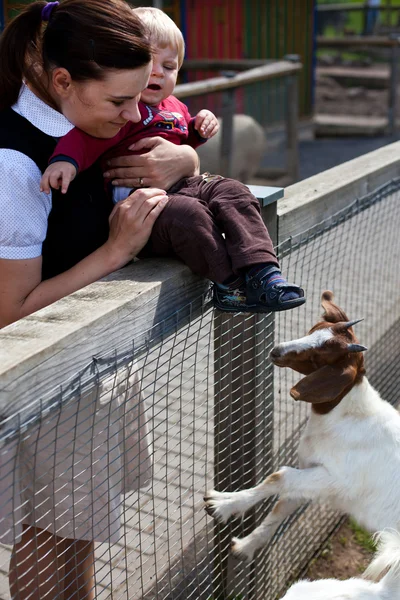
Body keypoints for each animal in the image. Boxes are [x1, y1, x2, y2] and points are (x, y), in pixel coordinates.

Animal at [205, 290, 400, 564]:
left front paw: (220, 504)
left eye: (321, 355)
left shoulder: (337, 480)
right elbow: (283, 502)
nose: (277, 351)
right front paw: (245, 546)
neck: (347, 417)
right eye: (312, 330)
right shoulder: (312, 474)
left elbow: (280, 476)